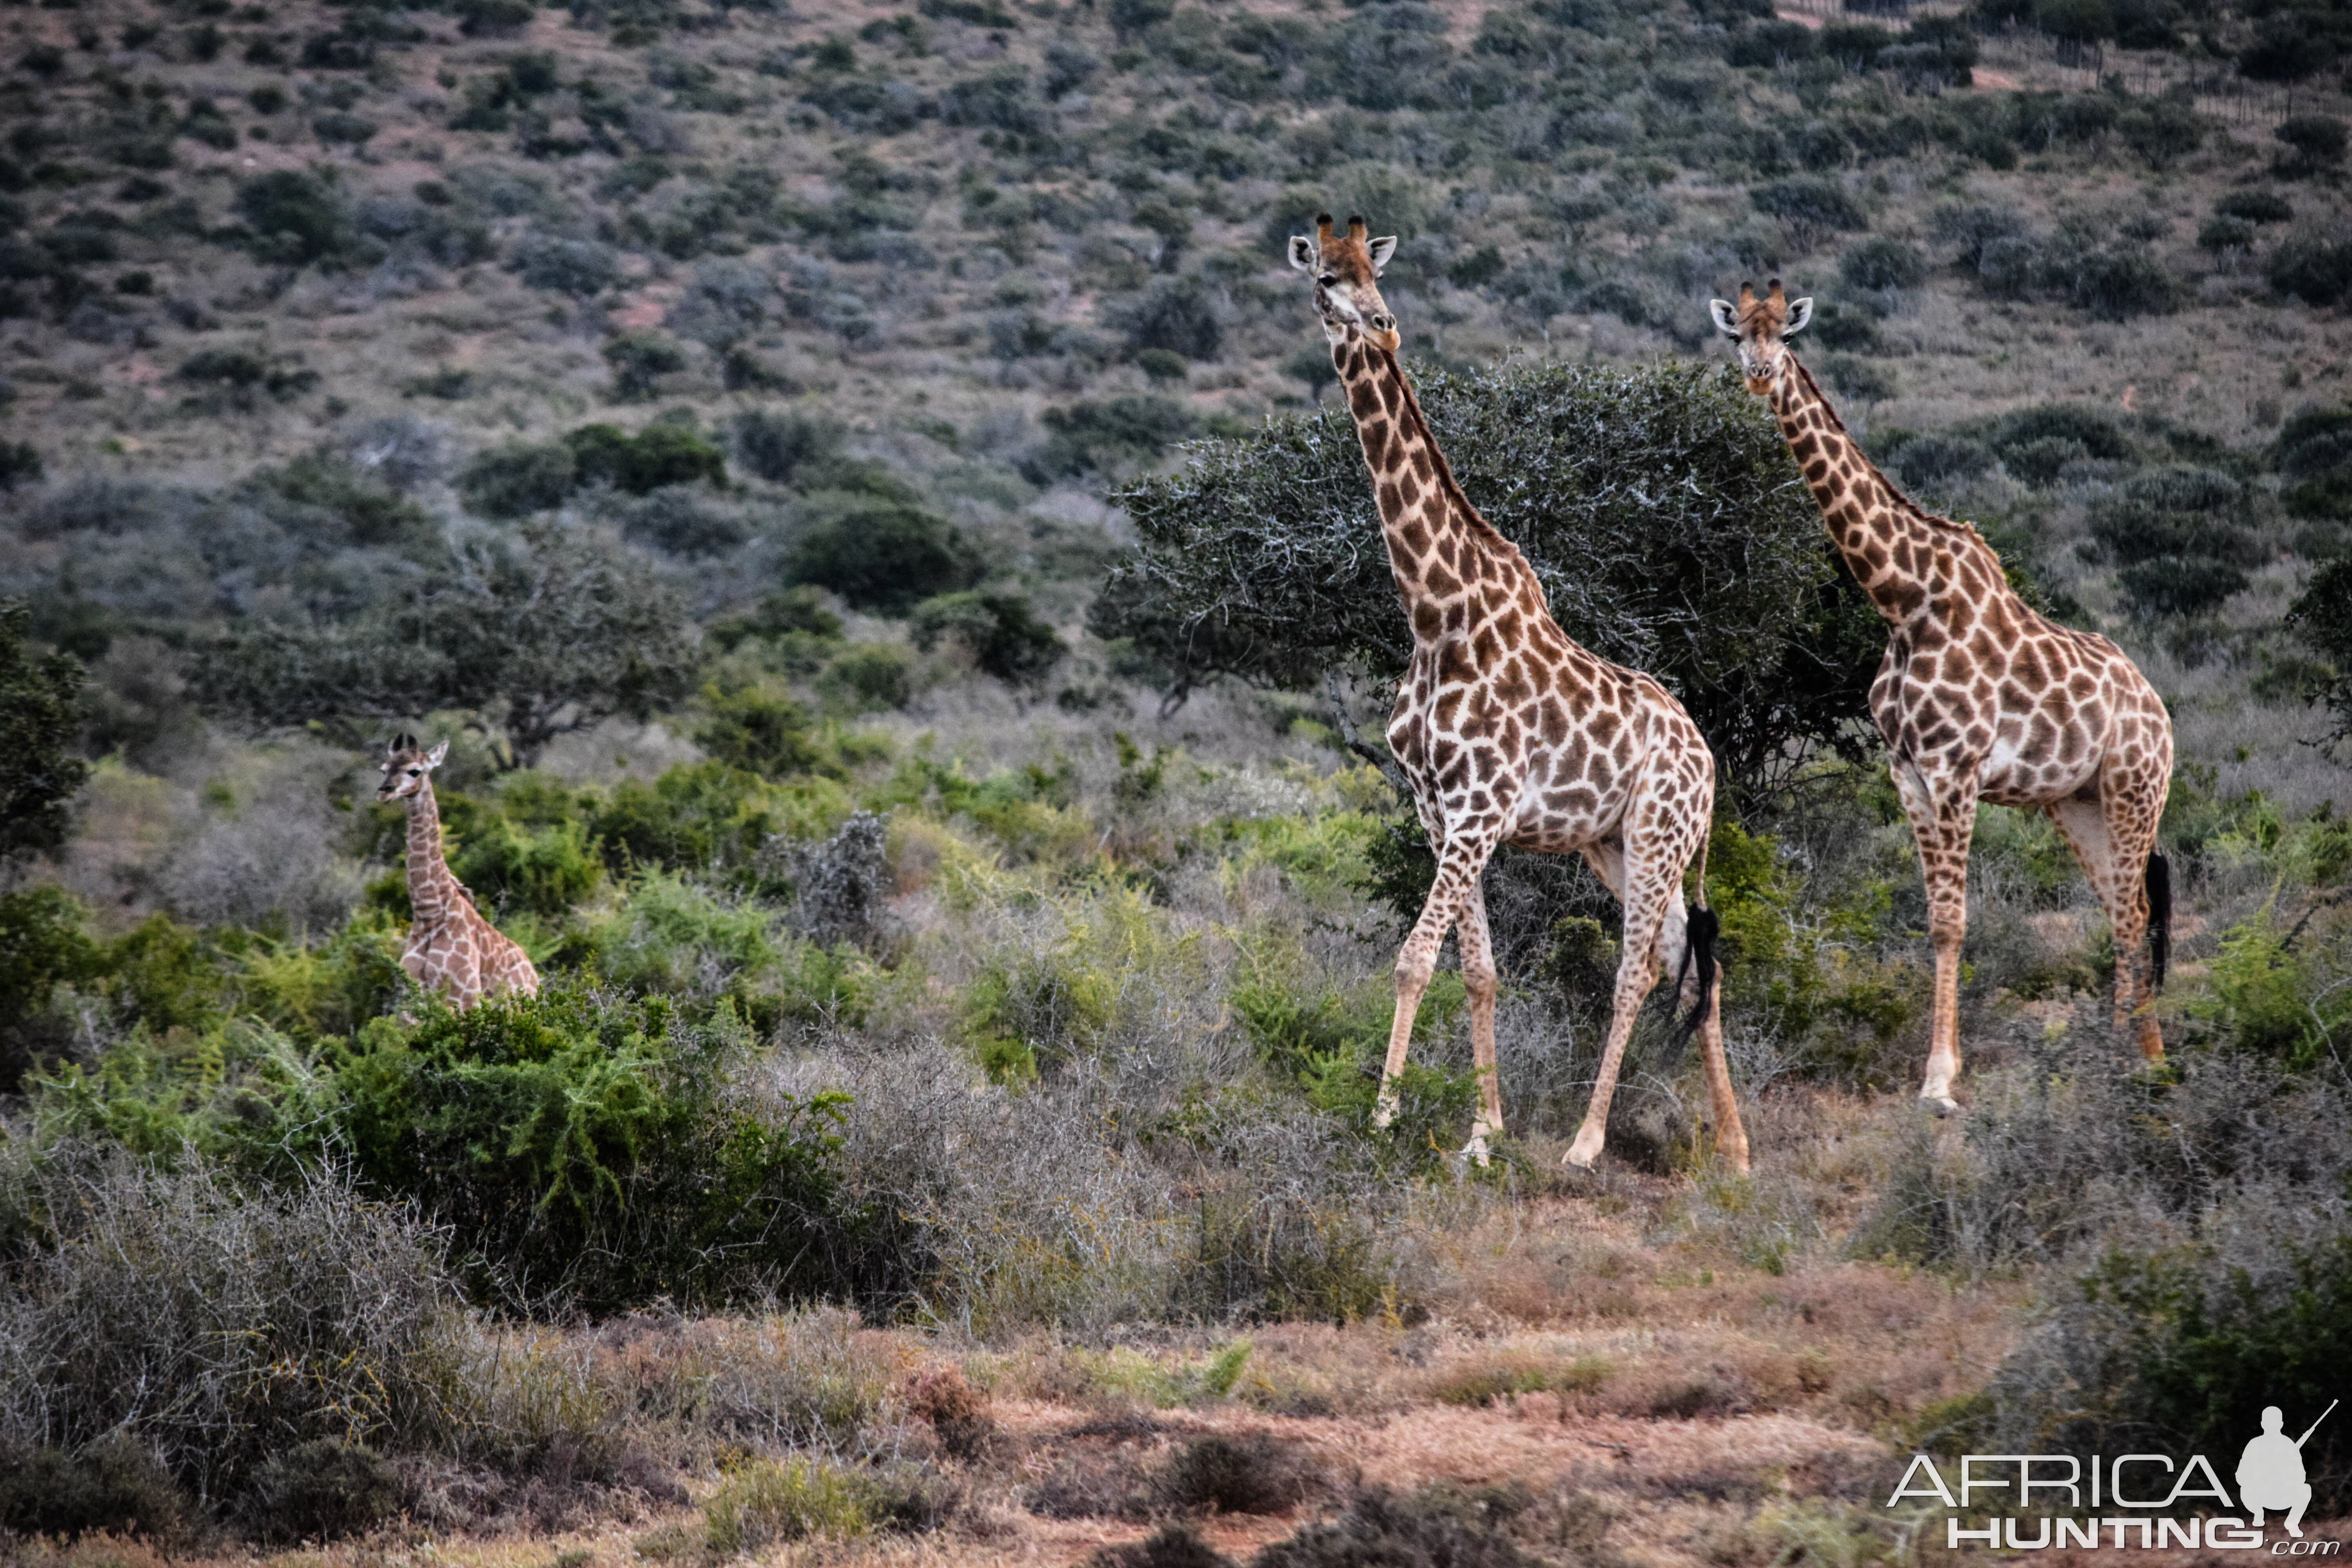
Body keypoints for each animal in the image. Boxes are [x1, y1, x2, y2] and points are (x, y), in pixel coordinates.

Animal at [374, 733, 539, 1006]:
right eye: (384, 769)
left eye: (415, 771)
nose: (384, 792)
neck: (429, 913)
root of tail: (536, 978)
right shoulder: (411, 997)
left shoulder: (464, 996)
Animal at [1289, 215, 1750, 1171]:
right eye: (1325, 280)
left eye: (1372, 276)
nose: (1382, 327)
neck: (1436, 615)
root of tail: (1708, 763)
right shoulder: (1440, 813)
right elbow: (1477, 969)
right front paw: (1481, 1132)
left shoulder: (1482, 809)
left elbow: (1413, 959)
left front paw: (1382, 1120)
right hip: (1617, 845)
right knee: (1693, 959)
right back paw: (1734, 1146)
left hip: (1658, 834)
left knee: (1637, 968)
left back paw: (1585, 1141)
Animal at [1703, 285, 2173, 1114]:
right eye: (1738, 339)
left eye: (1784, 336)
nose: (1759, 377)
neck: (1902, 599)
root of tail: (2162, 713)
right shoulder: (1909, 774)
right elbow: (1932, 922)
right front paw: (1939, 1072)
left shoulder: (1957, 770)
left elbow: (1955, 923)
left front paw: (1940, 1083)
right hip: (2077, 801)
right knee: (2121, 910)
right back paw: (2120, 1060)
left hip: (2134, 788)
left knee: (2137, 910)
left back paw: (2146, 1065)